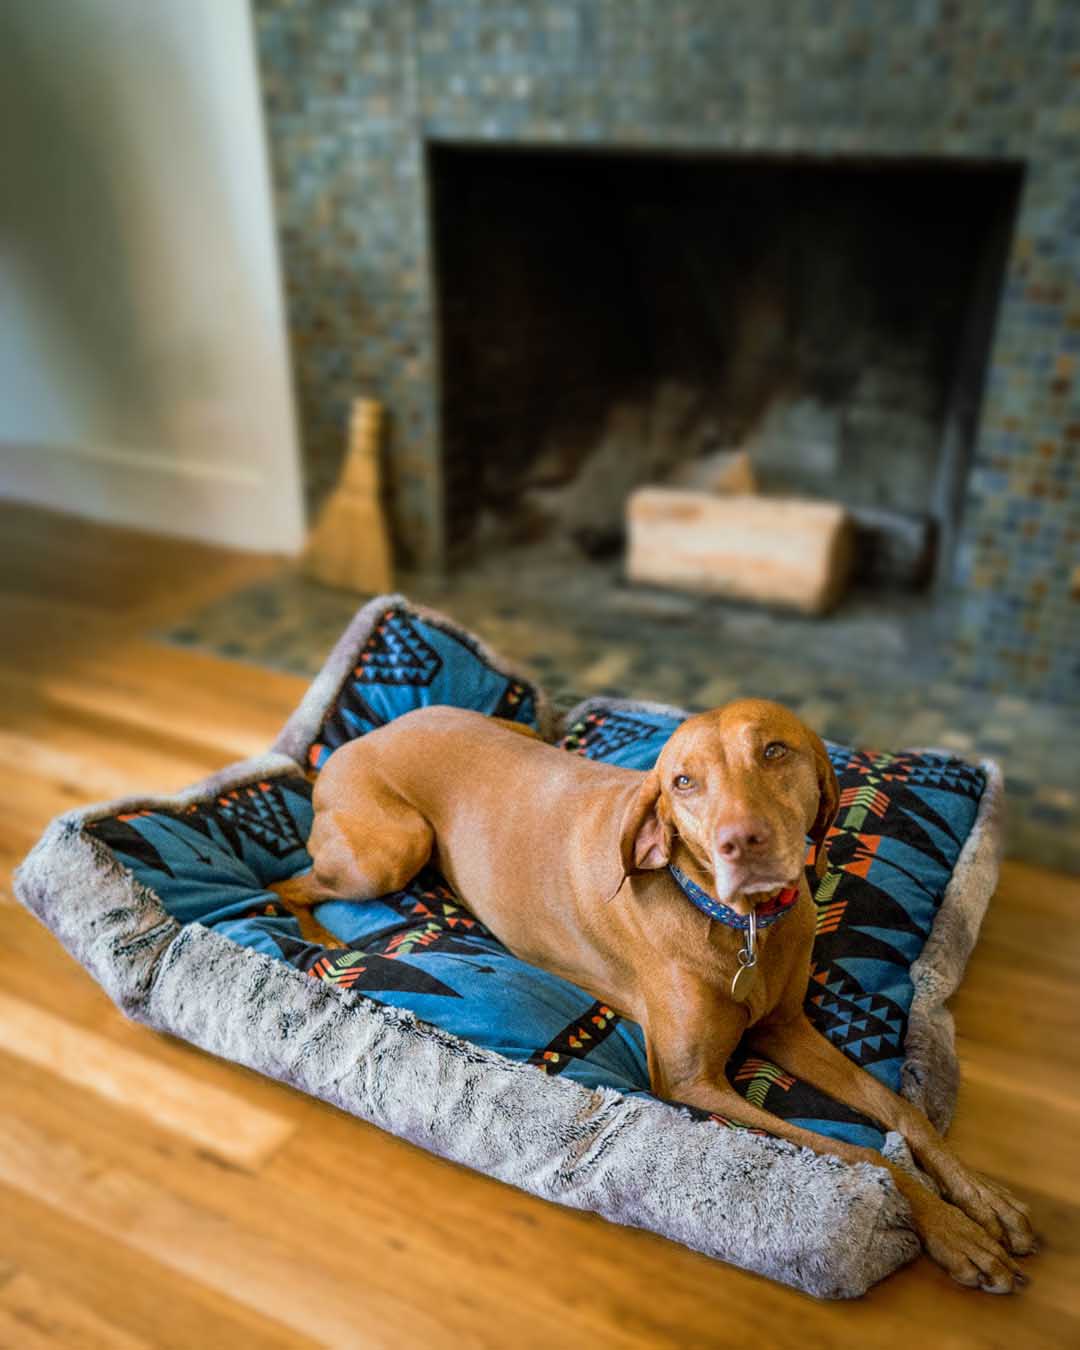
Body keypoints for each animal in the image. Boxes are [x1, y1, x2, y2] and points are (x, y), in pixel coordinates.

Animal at [272, 702, 1036, 1290]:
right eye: (684, 782)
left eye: (775, 750)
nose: (741, 843)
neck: (742, 923)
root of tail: (359, 738)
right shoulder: (693, 1082)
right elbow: (865, 1155)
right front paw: (953, 1233)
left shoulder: (786, 1028)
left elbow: (901, 1111)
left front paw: (983, 1200)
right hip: (393, 847)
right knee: (290, 883)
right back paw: (321, 940)